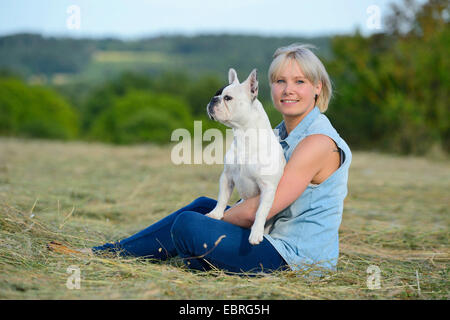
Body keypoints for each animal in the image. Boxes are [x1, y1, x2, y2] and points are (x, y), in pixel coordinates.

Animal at [207, 68, 284, 245]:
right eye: (217, 94)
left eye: (228, 98)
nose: (213, 99)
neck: (243, 136)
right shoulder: (227, 176)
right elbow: (222, 197)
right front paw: (216, 213)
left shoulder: (268, 187)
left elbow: (261, 211)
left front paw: (255, 233)